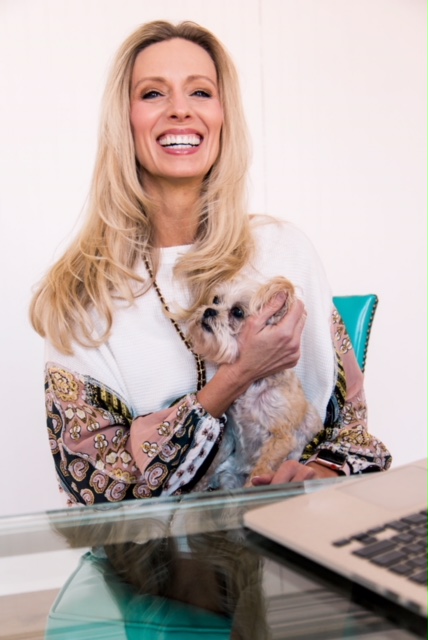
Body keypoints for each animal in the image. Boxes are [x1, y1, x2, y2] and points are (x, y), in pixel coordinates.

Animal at [186, 276, 322, 490]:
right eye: (216, 300)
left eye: (237, 312)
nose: (209, 310)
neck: (253, 387)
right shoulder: (229, 435)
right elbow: (211, 465)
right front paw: (198, 488)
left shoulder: (281, 440)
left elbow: (259, 474)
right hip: (229, 477)